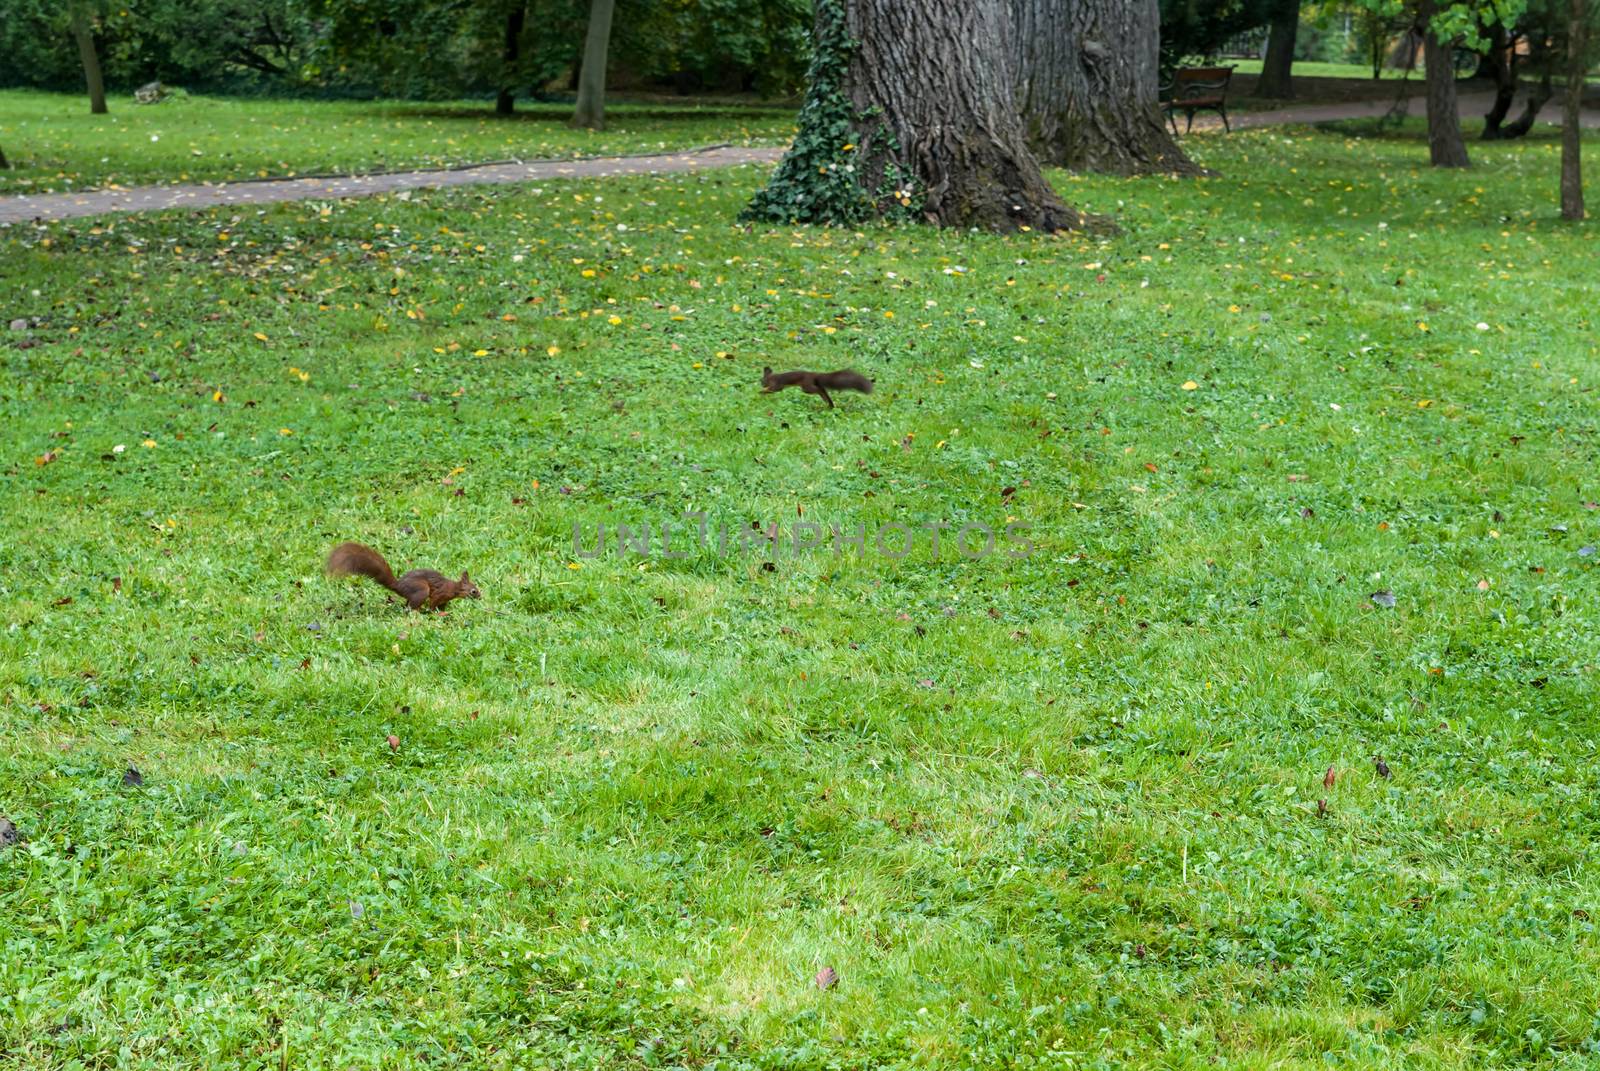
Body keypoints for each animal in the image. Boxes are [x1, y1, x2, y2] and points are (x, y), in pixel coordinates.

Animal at [321, 544, 476, 608]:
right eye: (474, 591)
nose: (480, 596)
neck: (454, 588)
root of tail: (398, 586)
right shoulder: (440, 593)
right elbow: (433, 604)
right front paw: (435, 613)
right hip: (421, 590)